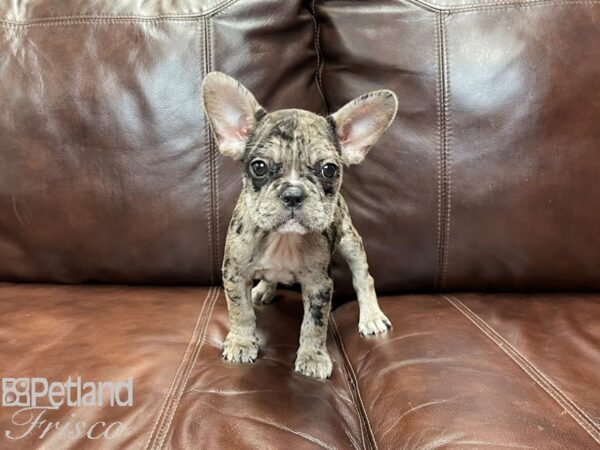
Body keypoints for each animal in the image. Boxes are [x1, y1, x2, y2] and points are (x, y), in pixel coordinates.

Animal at [202, 72, 398, 378]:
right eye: (259, 166)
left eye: (329, 169)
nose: (293, 193)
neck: (282, 239)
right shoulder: (235, 273)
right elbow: (240, 311)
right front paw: (242, 342)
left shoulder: (319, 285)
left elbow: (314, 324)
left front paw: (313, 357)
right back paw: (264, 290)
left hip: (350, 240)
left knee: (363, 278)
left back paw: (371, 316)